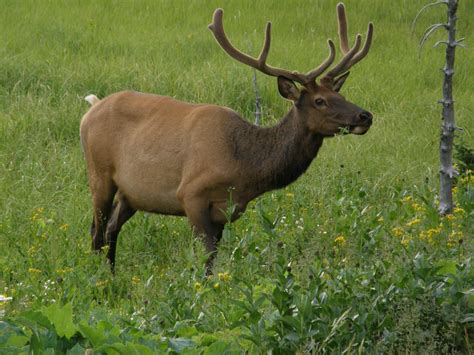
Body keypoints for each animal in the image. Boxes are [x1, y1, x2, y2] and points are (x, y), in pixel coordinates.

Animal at [78, 3, 374, 272]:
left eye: (341, 95)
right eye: (320, 101)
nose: (365, 116)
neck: (244, 167)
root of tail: (92, 108)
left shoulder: (226, 211)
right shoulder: (191, 194)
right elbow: (207, 260)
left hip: (131, 193)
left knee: (111, 230)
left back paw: (112, 276)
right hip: (99, 173)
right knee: (96, 231)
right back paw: (100, 281)